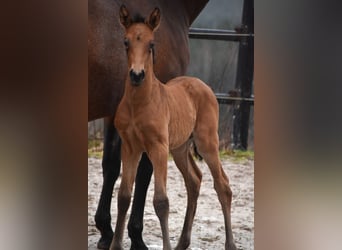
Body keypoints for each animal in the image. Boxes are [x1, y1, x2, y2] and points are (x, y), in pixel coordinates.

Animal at [87, 0, 208, 249]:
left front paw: (106, 231)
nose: (136, 75)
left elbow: (111, 167)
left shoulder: (116, 114)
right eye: (125, 42)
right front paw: (135, 237)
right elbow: (142, 174)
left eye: (152, 44)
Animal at [111, 5, 236, 250]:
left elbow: (161, 201)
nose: (137, 75)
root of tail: (202, 84)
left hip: (207, 142)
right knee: (194, 181)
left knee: (223, 186)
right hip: (179, 149)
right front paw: (114, 245)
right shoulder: (130, 147)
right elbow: (123, 196)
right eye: (125, 42)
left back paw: (230, 244)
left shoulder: (158, 147)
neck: (139, 103)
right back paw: (182, 243)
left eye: (151, 44)